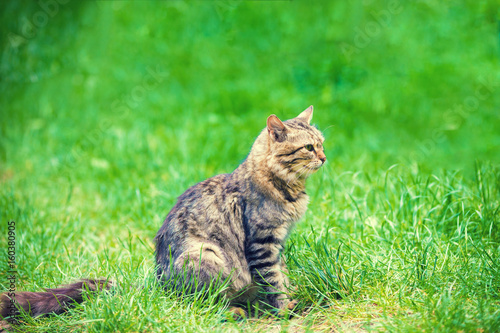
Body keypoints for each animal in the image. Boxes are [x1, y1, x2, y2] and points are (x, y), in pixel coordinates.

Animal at [0, 105, 324, 324]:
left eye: (321, 143)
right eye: (308, 148)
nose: (323, 157)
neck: (288, 187)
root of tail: (158, 284)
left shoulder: (277, 244)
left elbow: (281, 274)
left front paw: (289, 296)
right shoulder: (262, 243)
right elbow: (272, 281)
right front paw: (284, 308)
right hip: (206, 256)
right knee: (198, 304)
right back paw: (234, 311)